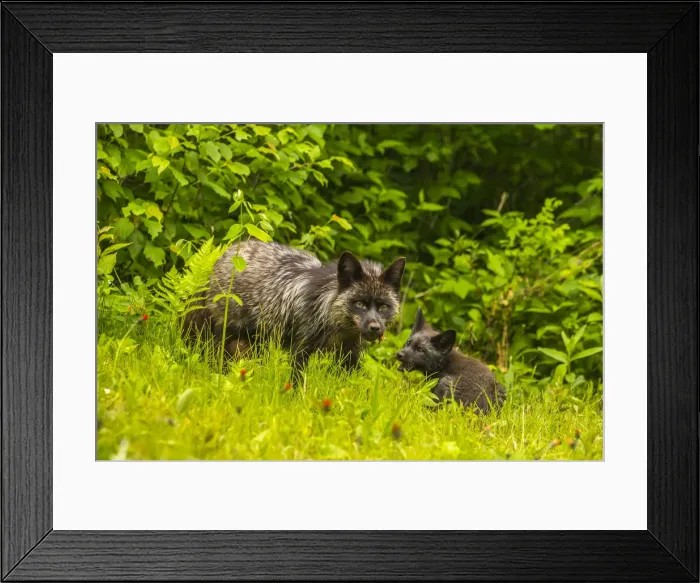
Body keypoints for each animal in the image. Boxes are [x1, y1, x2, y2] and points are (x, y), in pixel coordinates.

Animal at [183, 239, 406, 378]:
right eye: (359, 304)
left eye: (383, 307)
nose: (375, 327)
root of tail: (225, 253)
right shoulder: (300, 350)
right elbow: (297, 383)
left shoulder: (349, 355)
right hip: (226, 335)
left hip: (257, 342)